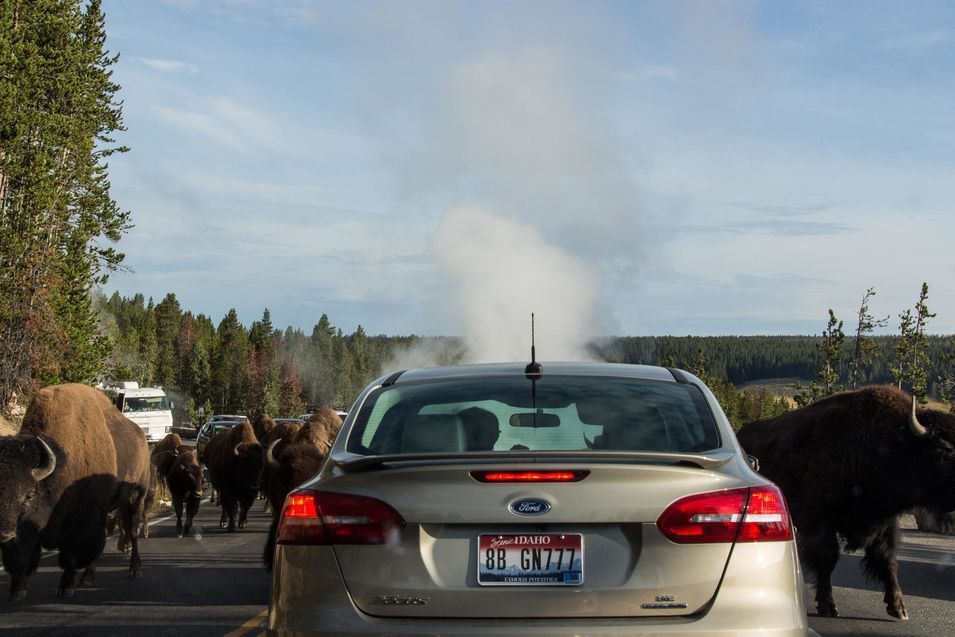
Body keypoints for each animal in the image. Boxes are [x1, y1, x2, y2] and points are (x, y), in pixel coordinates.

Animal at [0, 382, 150, 600]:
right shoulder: (27, 532)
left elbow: (71, 555)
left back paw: (135, 569)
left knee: (132, 530)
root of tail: (142, 437)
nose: (4, 535)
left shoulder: (79, 521)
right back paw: (88, 577)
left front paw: (66, 587)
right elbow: (22, 555)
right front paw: (17, 589)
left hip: (137, 499)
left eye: (29, 495)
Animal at [736, 386, 955, 620]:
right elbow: (827, 558)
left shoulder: (884, 522)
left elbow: (887, 560)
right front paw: (828, 606)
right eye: (941, 450)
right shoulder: (819, 521)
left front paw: (898, 608)